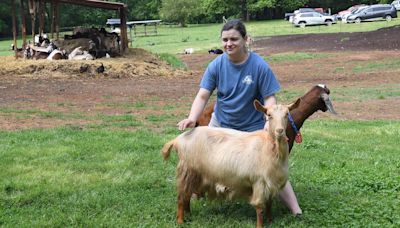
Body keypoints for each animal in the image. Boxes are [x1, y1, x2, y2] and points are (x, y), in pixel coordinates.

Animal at [162, 100, 300, 228]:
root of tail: (178, 139)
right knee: (182, 197)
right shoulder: (259, 182)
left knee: (186, 196)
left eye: (286, 114)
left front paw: (270, 220)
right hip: (188, 170)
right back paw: (180, 221)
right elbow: (259, 208)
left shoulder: (271, 183)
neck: (270, 148)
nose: (280, 131)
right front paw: (260, 225)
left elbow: (269, 204)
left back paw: (189, 215)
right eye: (269, 115)